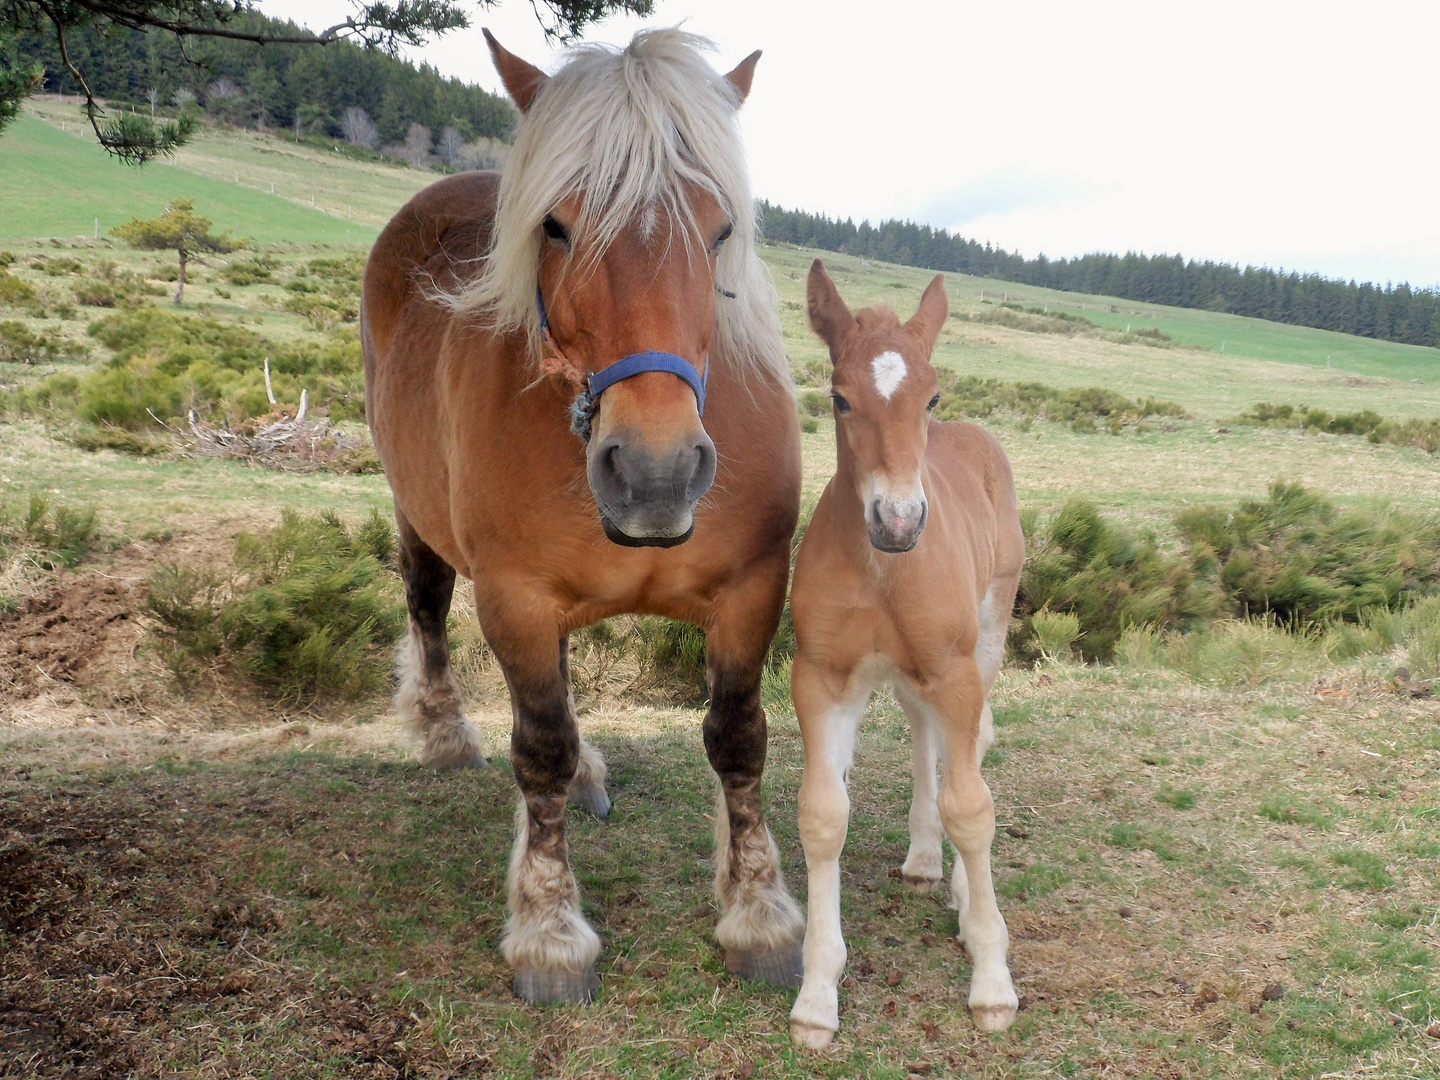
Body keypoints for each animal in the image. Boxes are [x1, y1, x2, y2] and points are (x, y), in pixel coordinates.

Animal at [360, 27, 806, 1008]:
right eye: (556, 225)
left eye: (720, 229)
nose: (655, 473)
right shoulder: (517, 598)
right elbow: (540, 753)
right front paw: (550, 930)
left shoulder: (751, 593)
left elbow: (738, 740)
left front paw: (758, 912)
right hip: (420, 516)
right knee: (428, 604)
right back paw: (443, 730)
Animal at [789, 262, 1025, 1048]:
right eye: (838, 398)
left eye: (932, 396)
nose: (898, 521)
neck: (883, 570)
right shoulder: (823, 679)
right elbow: (823, 815)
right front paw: (816, 995)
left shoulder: (954, 671)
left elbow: (973, 808)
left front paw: (992, 981)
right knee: (926, 735)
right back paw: (924, 858)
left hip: (988, 634)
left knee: (968, 748)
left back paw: (957, 888)